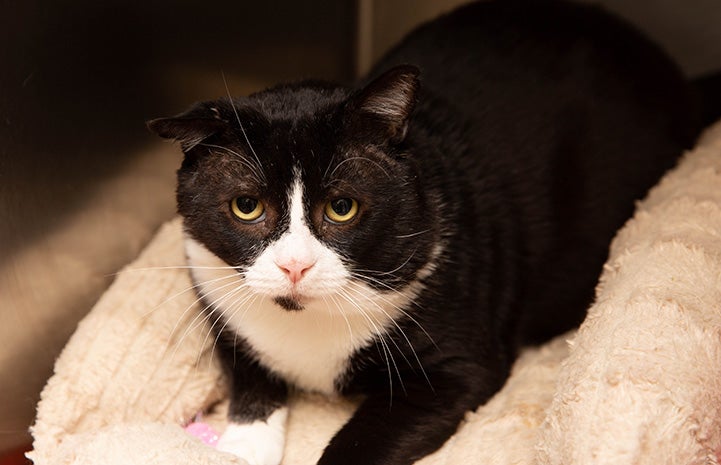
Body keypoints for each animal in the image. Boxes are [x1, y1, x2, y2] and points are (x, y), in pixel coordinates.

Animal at [146, 0, 696, 464]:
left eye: (342, 208)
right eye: (246, 206)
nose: (294, 265)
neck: (306, 323)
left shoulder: (456, 366)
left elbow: (363, 440)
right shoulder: (221, 304)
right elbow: (251, 385)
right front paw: (238, 447)